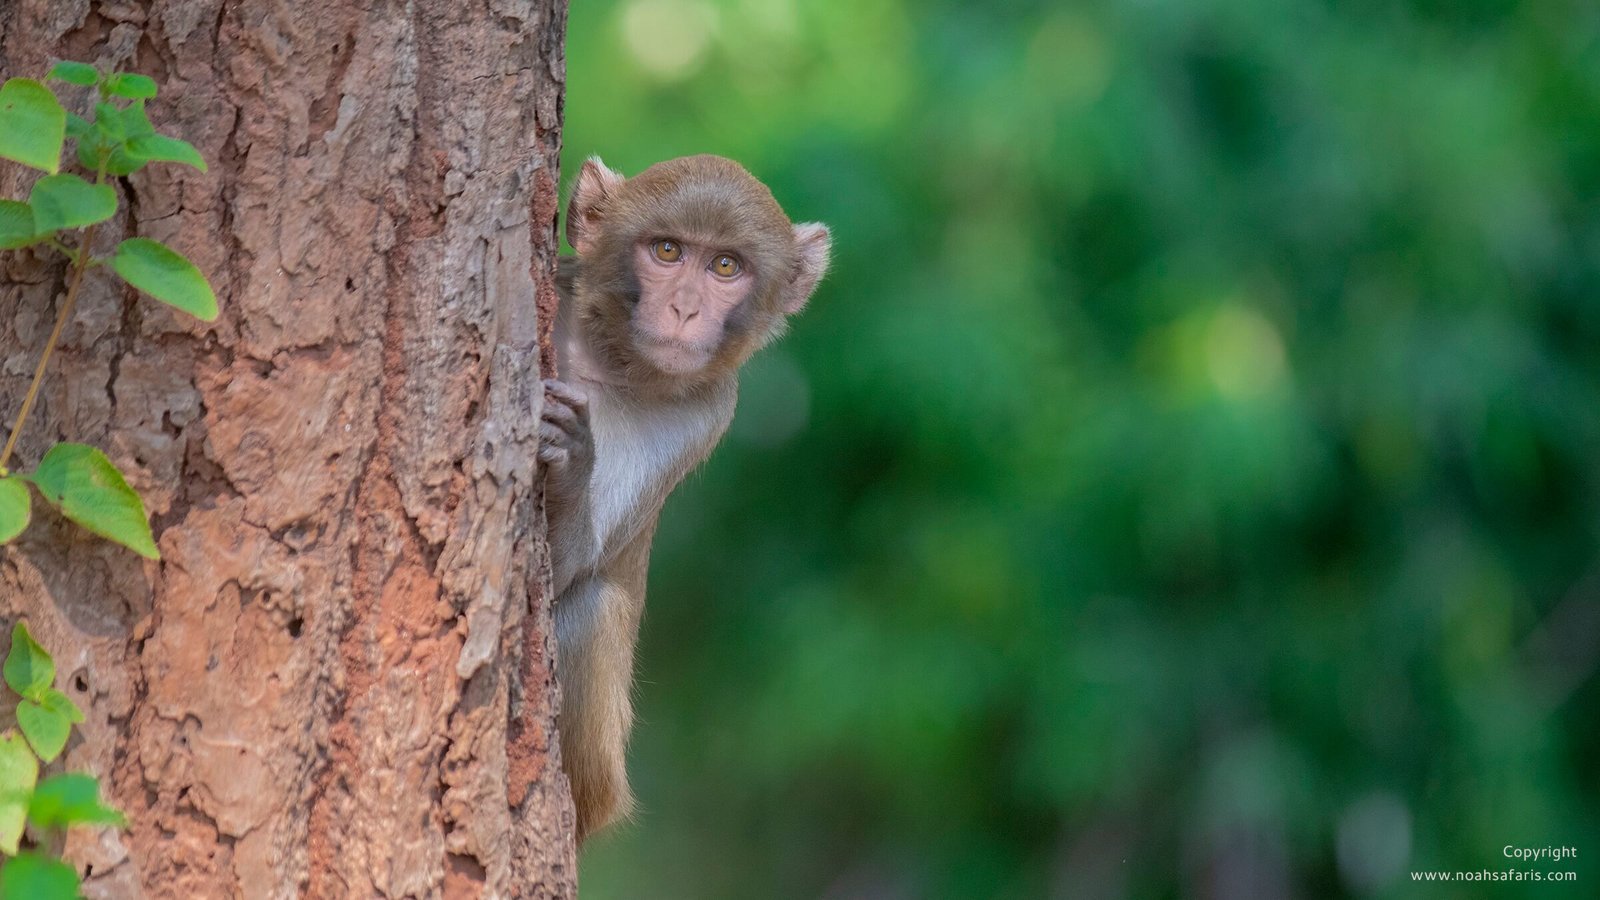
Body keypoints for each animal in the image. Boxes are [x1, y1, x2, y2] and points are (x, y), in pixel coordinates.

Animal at [537, 155, 830, 842]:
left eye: (725, 266)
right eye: (667, 251)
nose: (684, 310)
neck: (613, 362)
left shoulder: (707, 413)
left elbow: (566, 570)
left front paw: (569, 468)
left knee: (592, 608)